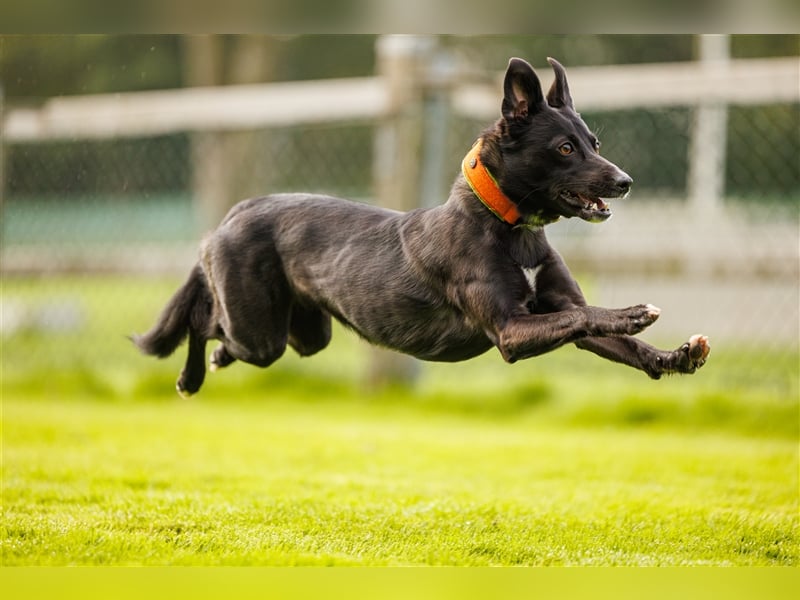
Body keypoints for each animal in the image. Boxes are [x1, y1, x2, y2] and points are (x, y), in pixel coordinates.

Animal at [134, 55, 708, 394]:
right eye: (565, 148)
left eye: (595, 143)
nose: (625, 182)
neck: (507, 226)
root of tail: (239, 210)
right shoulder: (510, 331)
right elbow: (586, 317)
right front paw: (633, 312)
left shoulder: (556, 313)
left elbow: (595, 328)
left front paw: (676, 355)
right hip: (259, 329)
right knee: (202, 320)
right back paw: (190, 375)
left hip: (304, 331)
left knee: (228, 336)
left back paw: (213, 364)